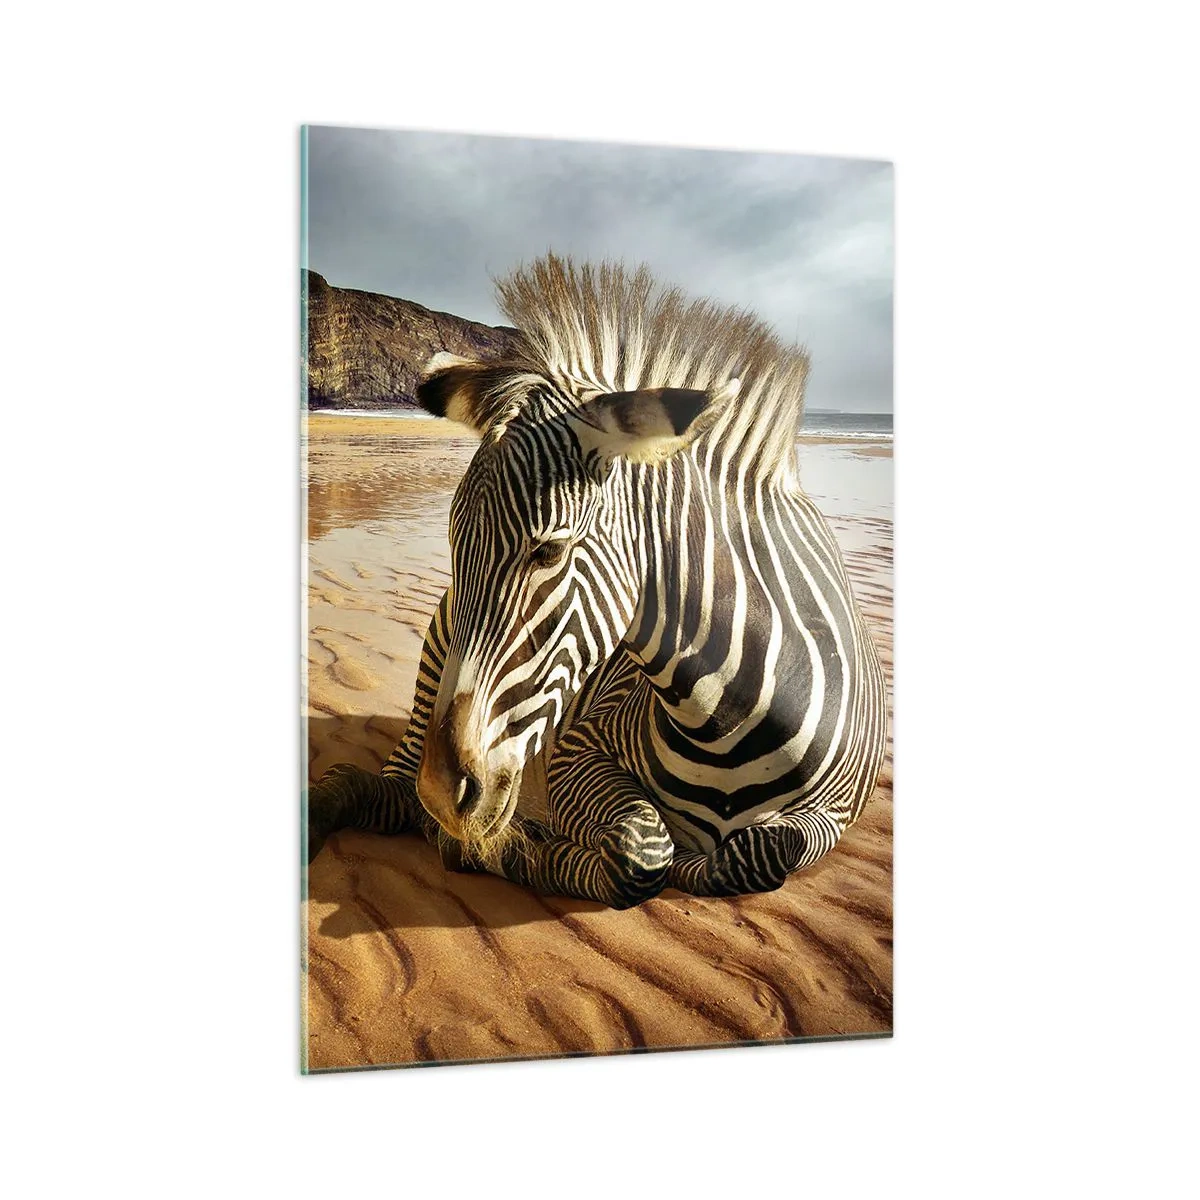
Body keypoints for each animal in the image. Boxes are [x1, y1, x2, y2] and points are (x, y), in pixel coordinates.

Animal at [307, 255, 888, 908]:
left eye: (550, 551)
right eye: (454, 544)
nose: (442, 793)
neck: (730, 717)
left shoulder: (835, 814)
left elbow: (757, 853)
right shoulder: (578, 748)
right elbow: (643, 851)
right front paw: (508, 849)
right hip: (435, 664)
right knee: (386, 791)